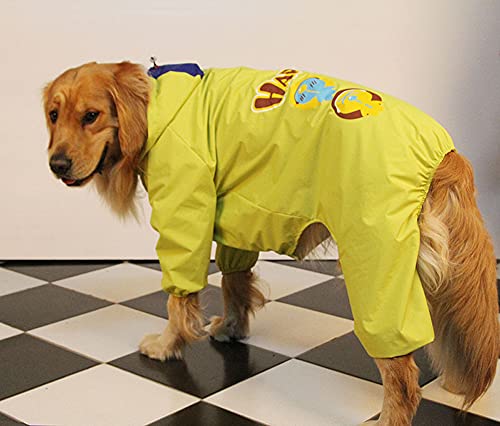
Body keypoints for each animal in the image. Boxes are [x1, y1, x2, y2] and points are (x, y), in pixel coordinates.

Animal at [42, 61, 496, 424]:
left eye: (91, 116)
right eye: (53, 114)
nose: (56, 165)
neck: (156, 108)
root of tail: (444, 152)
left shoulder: (184, 214)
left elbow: (179, 297)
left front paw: (168, 344)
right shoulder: (235, 217)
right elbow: (234, 280)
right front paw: (232, 327)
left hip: (377, 261)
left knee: (401, 375)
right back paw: (457, 382)